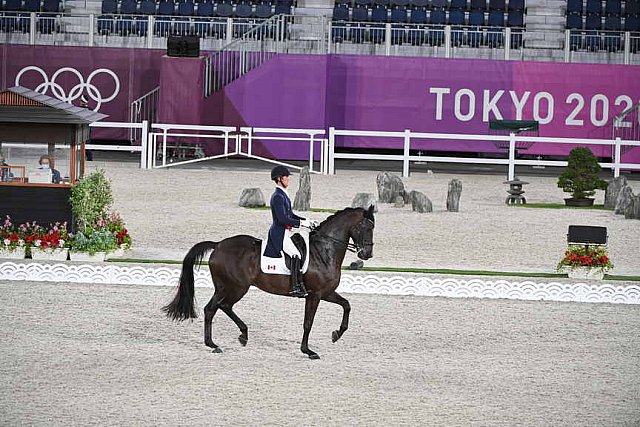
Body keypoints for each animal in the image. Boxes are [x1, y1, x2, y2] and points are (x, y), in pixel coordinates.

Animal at [162, 206, 378, 360]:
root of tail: (218, 245)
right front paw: (308, 351)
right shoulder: (315, 295)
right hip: (234, 287)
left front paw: (336, 334)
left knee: (222, 306)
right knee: (212, 308)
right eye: (365, 227)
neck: (324, 251)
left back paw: (242, 336)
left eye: (373, 228)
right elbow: (308, 323)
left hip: (231, 288)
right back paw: (214, 344)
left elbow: (346, 305)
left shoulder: (326, 293)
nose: (366, 254)